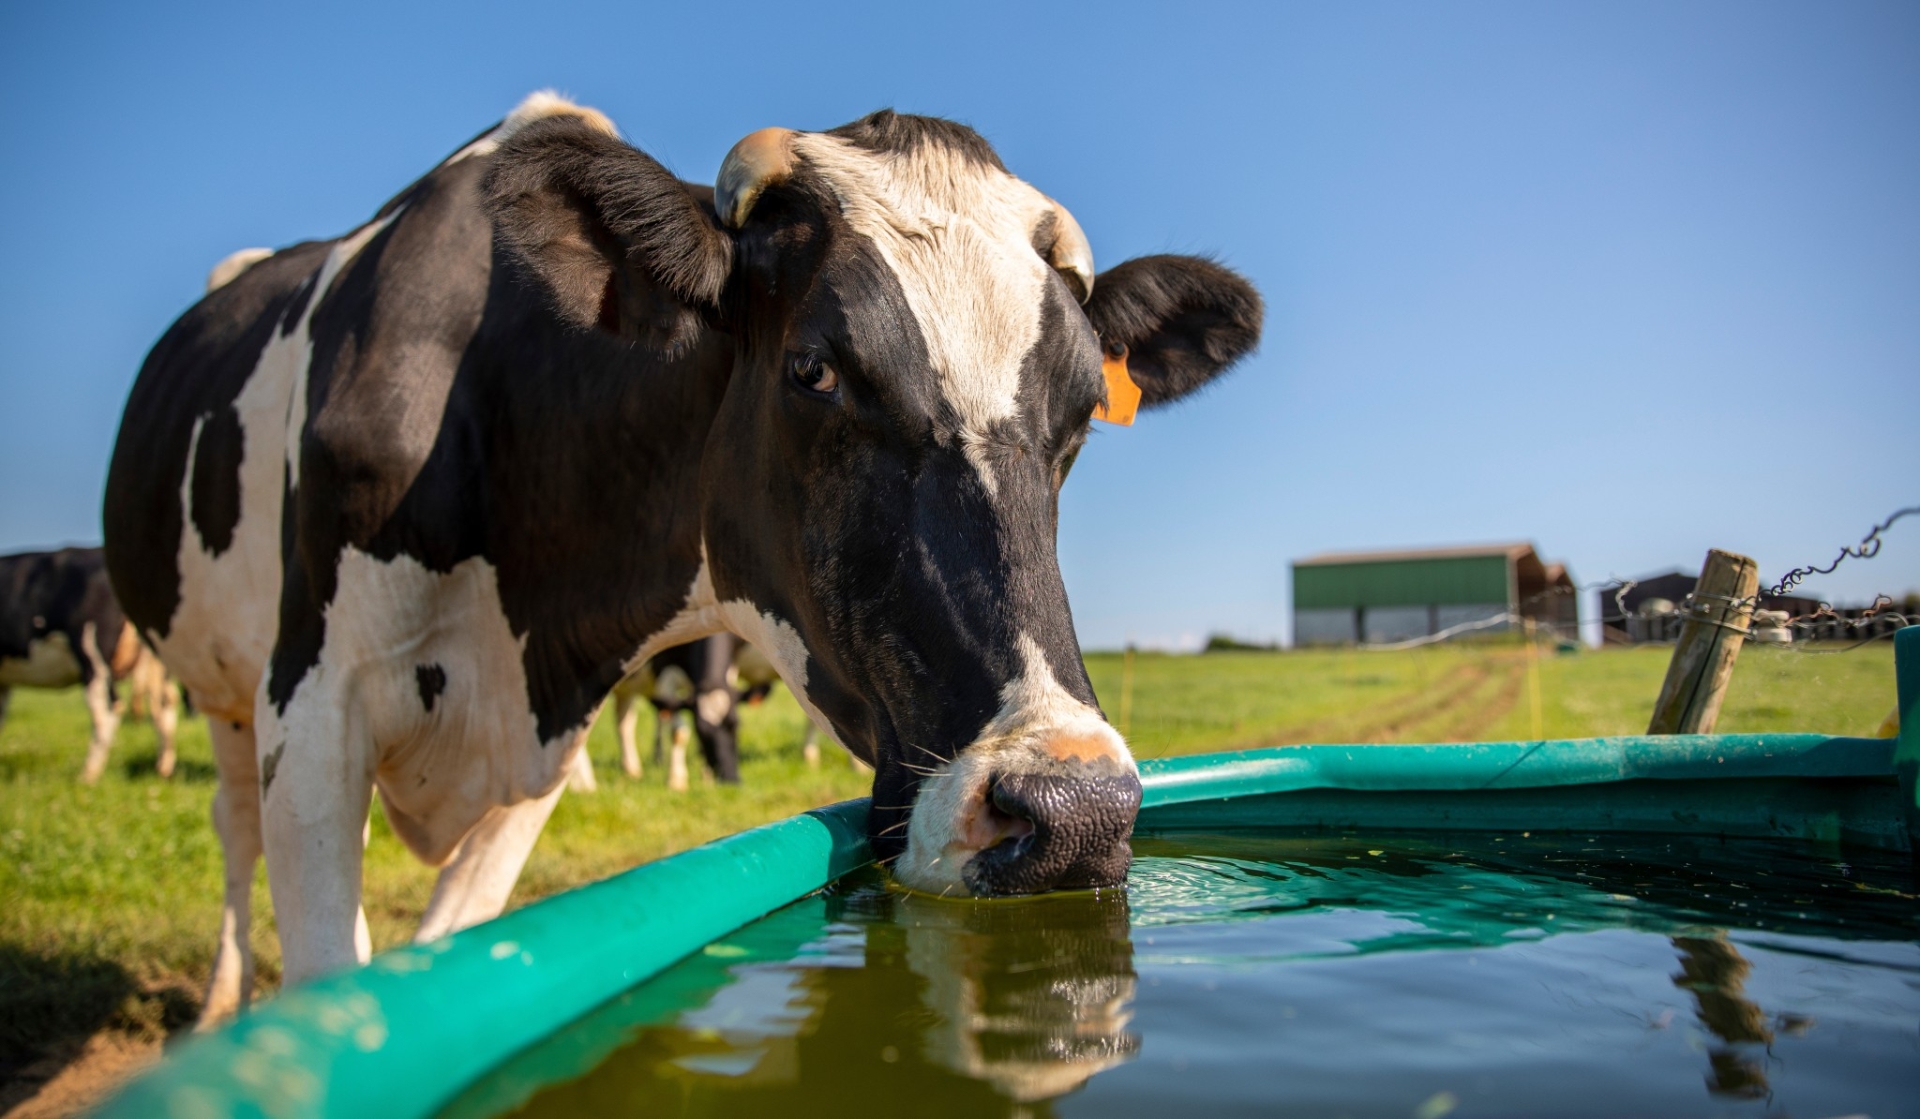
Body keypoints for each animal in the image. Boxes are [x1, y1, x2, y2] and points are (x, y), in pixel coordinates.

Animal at [0, 548, 180, 783]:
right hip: (156, 659)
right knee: (163, 705)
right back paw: (163, 770)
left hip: (92, 653)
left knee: (108, 709)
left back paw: (88, 776)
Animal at [105, 92, 1259, 1028]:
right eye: (814, 369)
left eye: (1083, 409)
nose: (1075, 814)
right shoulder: (315, 710)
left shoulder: (541, 759)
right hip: (222, 693)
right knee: (231, 828)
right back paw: (219, 1000)